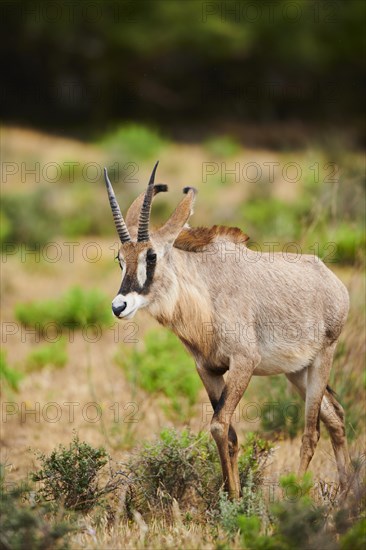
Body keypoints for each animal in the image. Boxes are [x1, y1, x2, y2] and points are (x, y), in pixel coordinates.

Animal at [104, 161, 350, 500]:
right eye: (120, 259)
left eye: (151, 256)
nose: (119, 306)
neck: (206, 294)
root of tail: (331, 280)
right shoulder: (208, 370)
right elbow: (228, 434)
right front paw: (231, 499)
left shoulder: (243, 364)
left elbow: (219, 425)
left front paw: (234, 503)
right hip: (298, 371)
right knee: (335, 418)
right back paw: (349, 496)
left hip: (322, 359)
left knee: (311, 433)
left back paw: (297, 496)